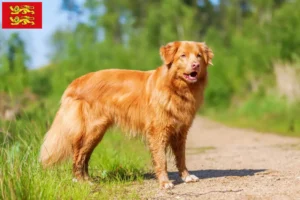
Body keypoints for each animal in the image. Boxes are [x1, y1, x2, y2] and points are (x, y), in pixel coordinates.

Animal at [39, 40, 213, 189]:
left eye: (198, 56)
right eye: (183, 55)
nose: (196, 65)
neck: (177, 88)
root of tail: (75, 82)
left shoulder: (181, 131)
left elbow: (181, 156)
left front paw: (186, 176)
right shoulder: (158, 131)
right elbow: (161, 159)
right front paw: (165, 182)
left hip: (96, 133)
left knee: (84, 156)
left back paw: (87, 179)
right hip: (91, 130)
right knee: (78, 156)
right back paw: (81, 181)